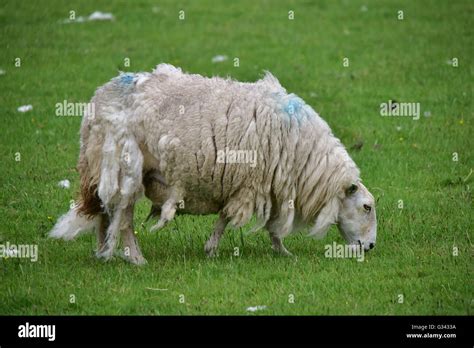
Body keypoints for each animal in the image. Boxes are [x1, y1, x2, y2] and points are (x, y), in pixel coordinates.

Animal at [50, 64, 378, 264]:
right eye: (366, 207)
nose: (371, 246)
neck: (304, 151)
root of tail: (97, 100)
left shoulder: (264, 186)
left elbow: (264, 223)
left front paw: (281, 251)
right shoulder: (252, 184)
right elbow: (229, 218)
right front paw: (213, 249)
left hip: (107, 171)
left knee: (105, 215)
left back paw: (103, 252)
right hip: (125, 167)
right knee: (123, 219)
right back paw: (136, 258)